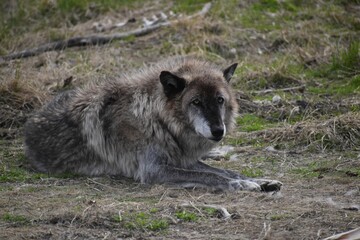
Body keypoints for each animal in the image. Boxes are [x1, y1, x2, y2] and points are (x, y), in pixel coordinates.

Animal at [24, 57, 282, 192]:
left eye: (219, 100)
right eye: (196, 102)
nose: (219, 131)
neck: (157, 119)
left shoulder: (182, 159)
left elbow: (224, 170)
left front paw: (259, 180)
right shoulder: (154, 169)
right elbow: (211, 177)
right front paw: (242, 185)